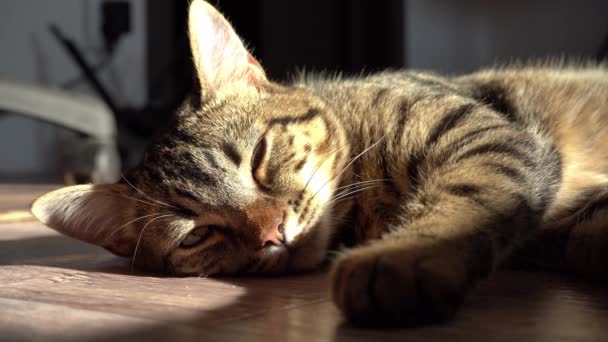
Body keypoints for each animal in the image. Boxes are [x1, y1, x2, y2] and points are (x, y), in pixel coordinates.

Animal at [30, 0, 608, 326]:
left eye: (259, 158)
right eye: (196, 235)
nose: (273, 233)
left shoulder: (484, 137)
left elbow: (462, 200)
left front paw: (399, 257)